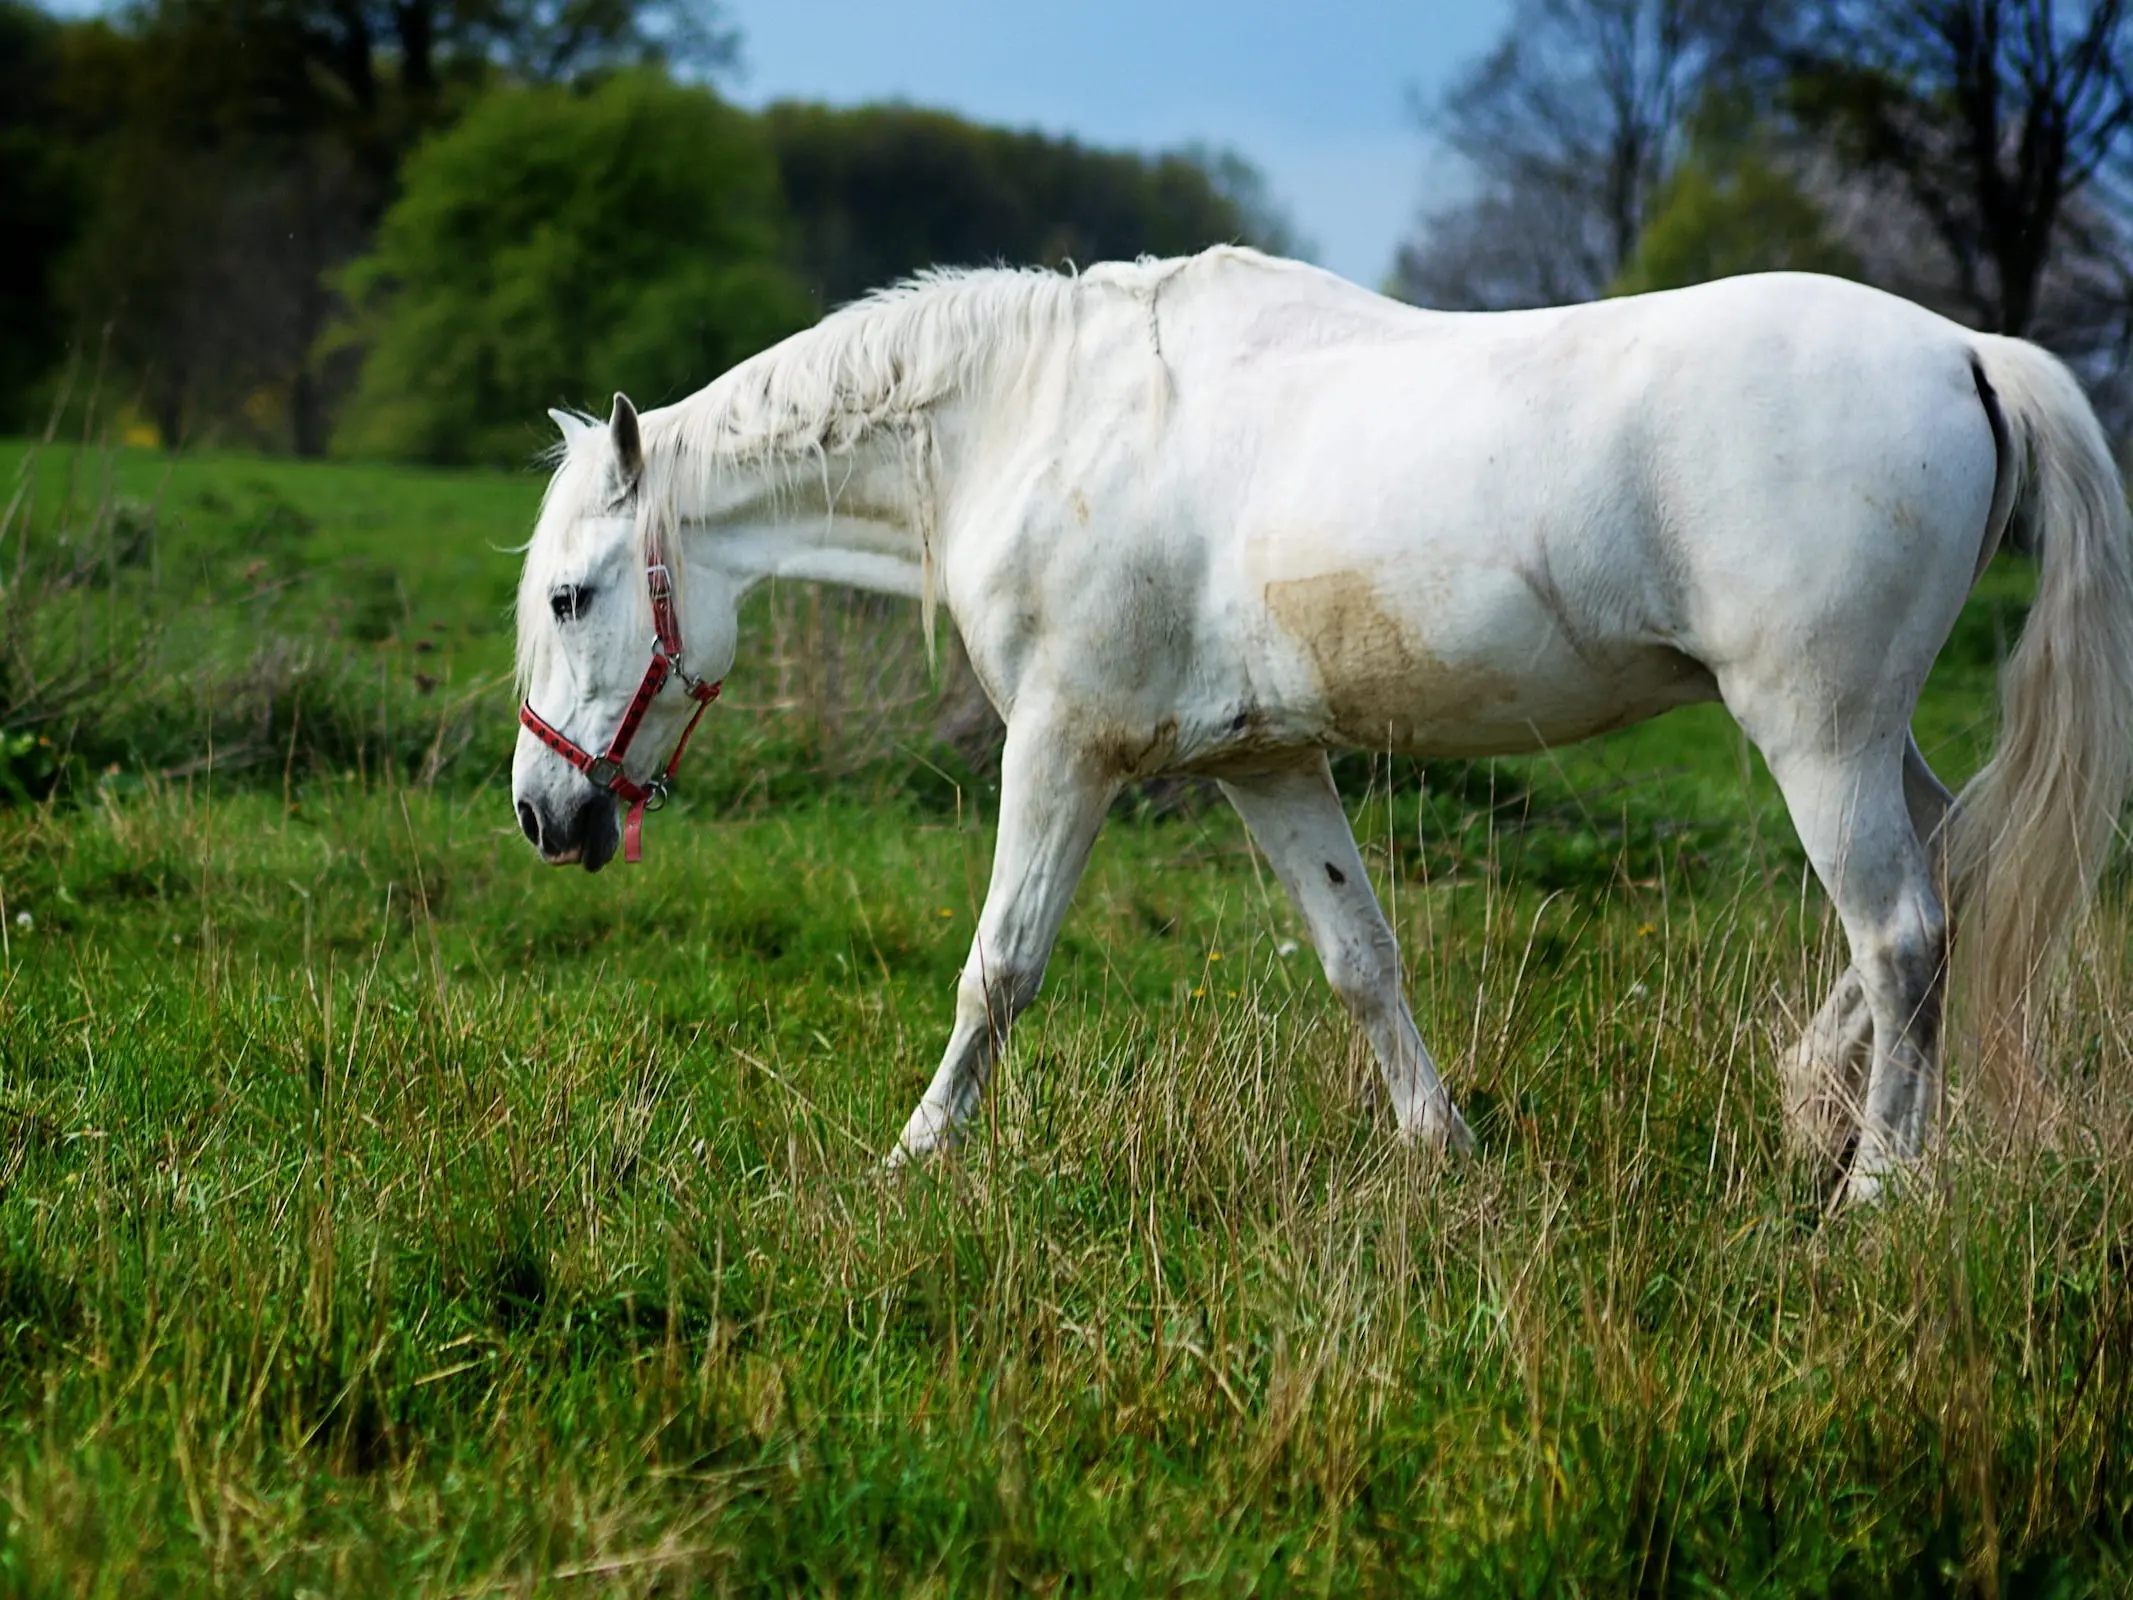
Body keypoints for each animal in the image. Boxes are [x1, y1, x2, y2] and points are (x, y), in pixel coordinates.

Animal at [503, 247, 2133, 1203]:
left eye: (575, 597)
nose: (544, 811)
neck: (1038, 419)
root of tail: (1966, 350)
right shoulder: (1269, 763)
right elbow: (1362, 958)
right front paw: (1443, 1151)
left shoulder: (1064, 748)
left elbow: (999, 969)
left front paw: (914, 1156)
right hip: (1862, 737)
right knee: (1956, 859)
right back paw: (1811, 1105)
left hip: (1816, 732)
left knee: (1906, 931)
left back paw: (1874, 1196)